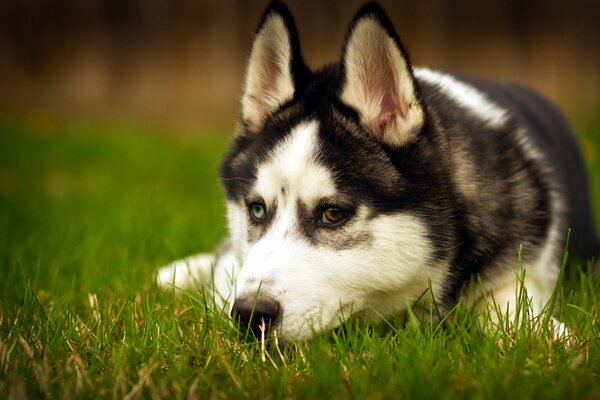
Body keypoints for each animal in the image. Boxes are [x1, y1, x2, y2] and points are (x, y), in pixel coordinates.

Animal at [157, 1, 596, 342]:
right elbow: (226, 273)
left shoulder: (526, 262)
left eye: (333, 213)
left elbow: (507, 303)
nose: (250, 315)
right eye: (257, 210)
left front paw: (544, 335)